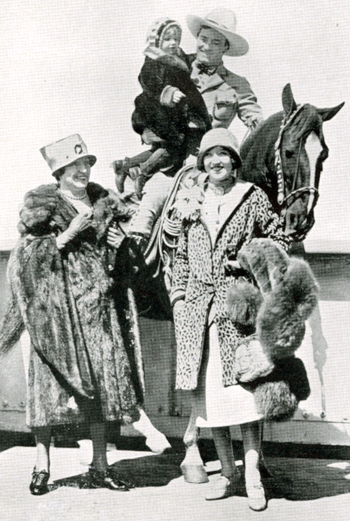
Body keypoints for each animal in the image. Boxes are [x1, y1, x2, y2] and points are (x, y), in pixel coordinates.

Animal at [123, 82, 344, 484]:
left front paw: (260, 460)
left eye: (323, 156)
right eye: (290, 150)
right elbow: (196, 385)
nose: (300, 220)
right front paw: (193, 456)